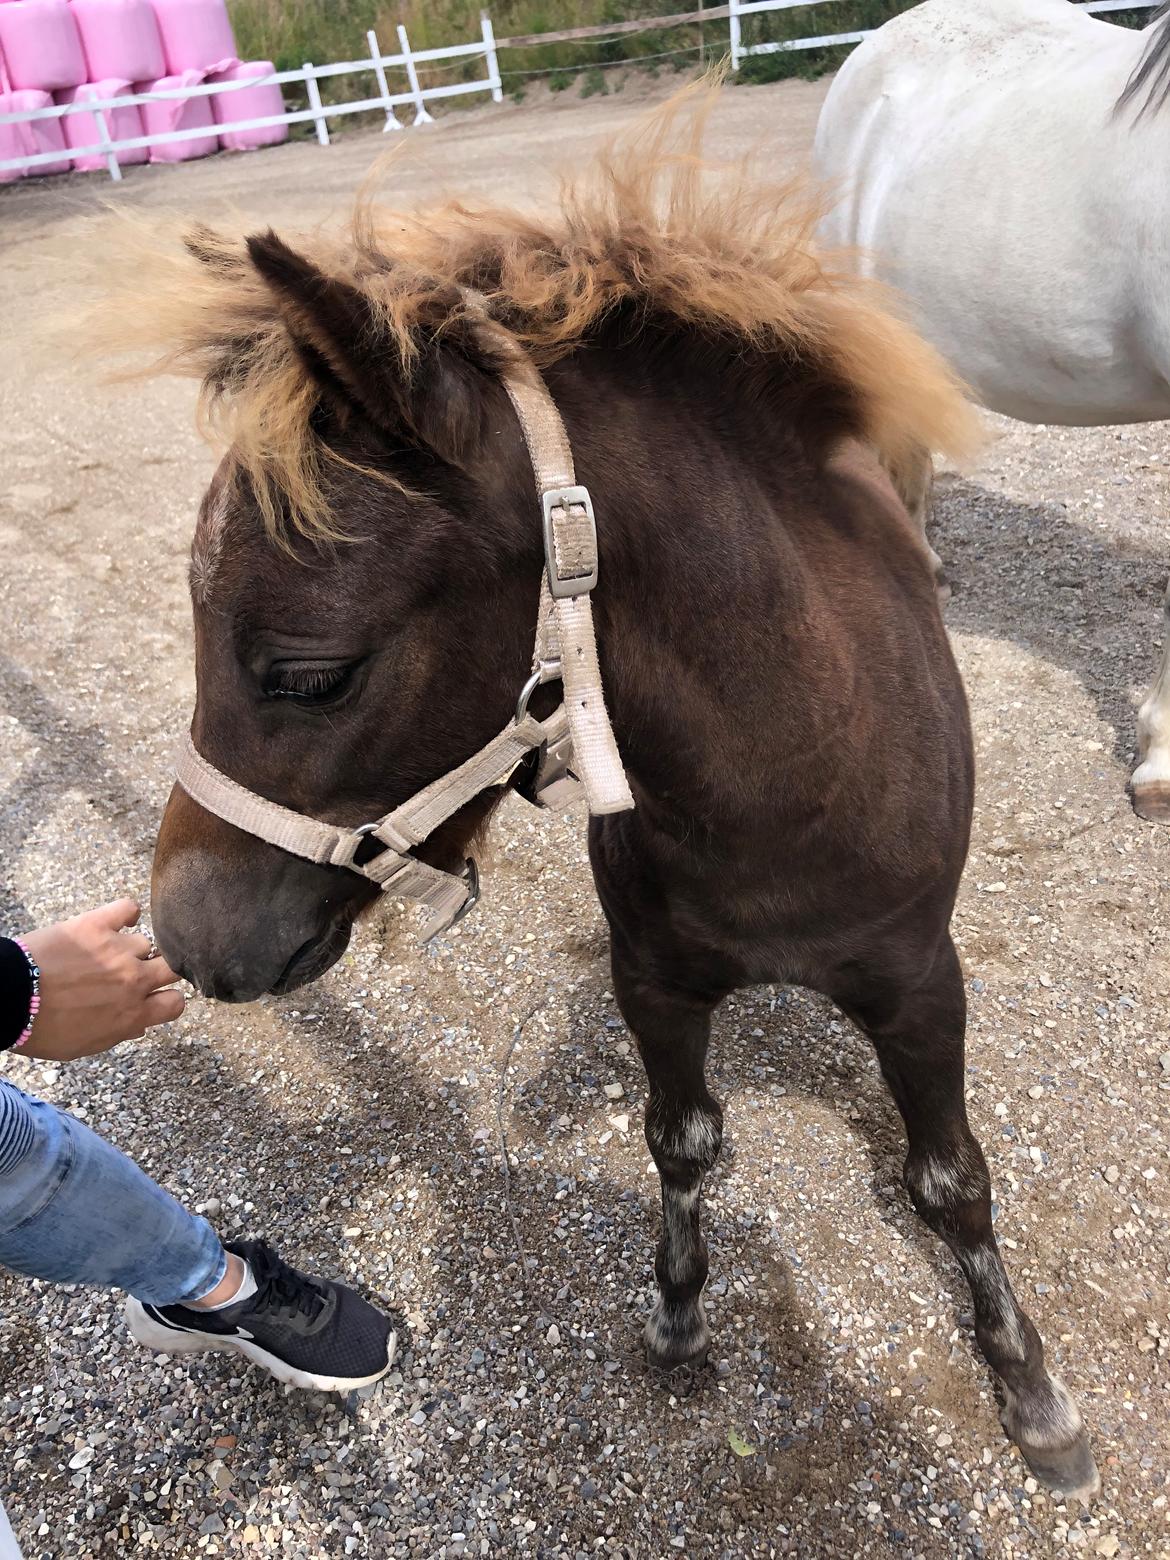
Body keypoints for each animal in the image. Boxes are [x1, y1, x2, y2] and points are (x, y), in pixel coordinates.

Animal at [109, 97, 1098, 1497]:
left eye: (312, 672)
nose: (191, 940)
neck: (782, 782)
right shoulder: (655, 979)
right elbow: (679, 1143)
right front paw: (679, 1319)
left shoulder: (920, 982)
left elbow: (950, 1180)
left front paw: (1029, 1387)